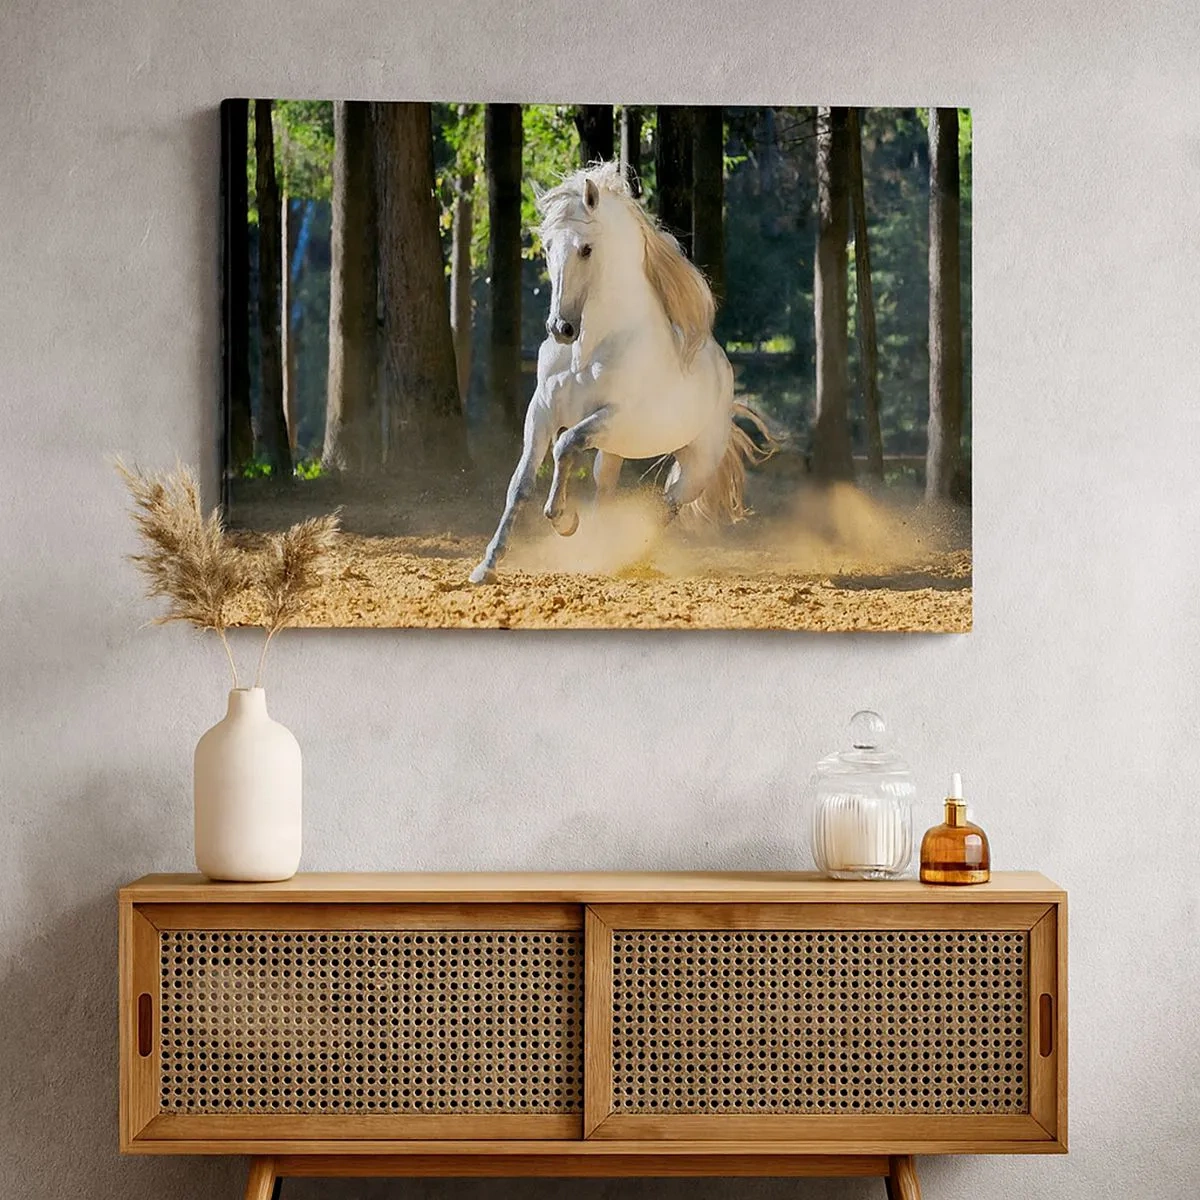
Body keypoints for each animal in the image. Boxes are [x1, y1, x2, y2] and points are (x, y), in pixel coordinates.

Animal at [469, 161, 774, 585]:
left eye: (586, 248)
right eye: (547, 247)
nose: (560, 328)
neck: (588, 350)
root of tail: (724, 376)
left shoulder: (613, 417)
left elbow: (565, 447)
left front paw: (563, 519)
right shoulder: (542, 412)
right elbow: (521, 483)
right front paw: (487, 565)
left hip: (695, 466)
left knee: (667, 505)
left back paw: (624, 556)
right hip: (613, 453)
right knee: (607, 490)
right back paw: (599, 550)